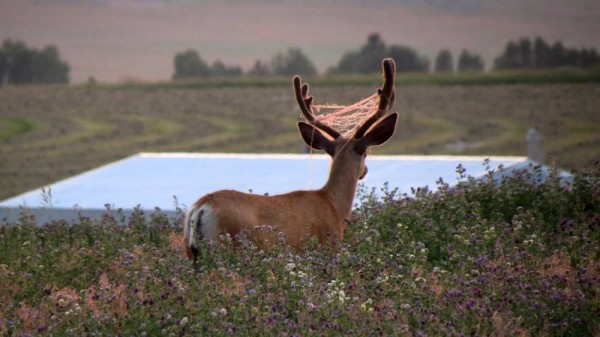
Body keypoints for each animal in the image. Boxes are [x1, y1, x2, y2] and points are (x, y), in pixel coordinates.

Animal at [183, 57, 398, 262]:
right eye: (366, 152)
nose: (365, 171)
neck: (334, 206)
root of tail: (201, 206)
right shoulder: (329, 245)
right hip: (230, 246)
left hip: (192, 253)